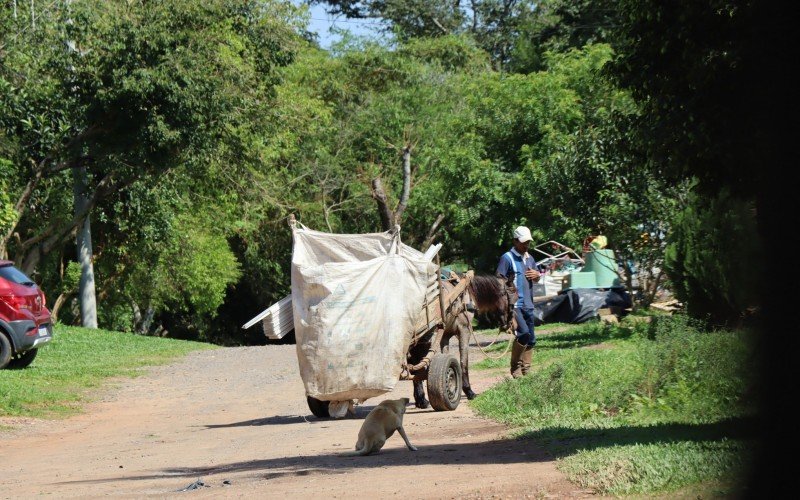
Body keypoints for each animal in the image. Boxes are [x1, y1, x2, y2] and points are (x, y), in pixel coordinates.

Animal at [406, 274, 520, 410]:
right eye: (513, 299)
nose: (512, 325)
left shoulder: (445, 334)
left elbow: (446, 354)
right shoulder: (465, 330)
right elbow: (463, 361)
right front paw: (468, 391)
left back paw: (420, 399)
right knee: (416, 361)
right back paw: (422, 399)